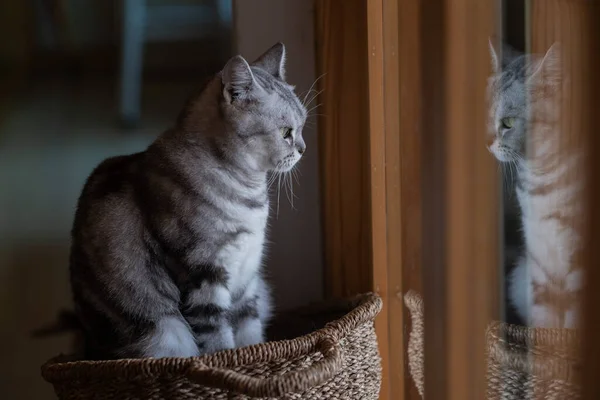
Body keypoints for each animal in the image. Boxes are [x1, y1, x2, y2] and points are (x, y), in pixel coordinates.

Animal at [68, 43, 308, 360]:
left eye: (303, 125)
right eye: (285, 133)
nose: (304, 148)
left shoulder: (247, 280)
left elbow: (250, 333)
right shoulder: (203, 277)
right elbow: (218, 342)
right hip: (163, 331)